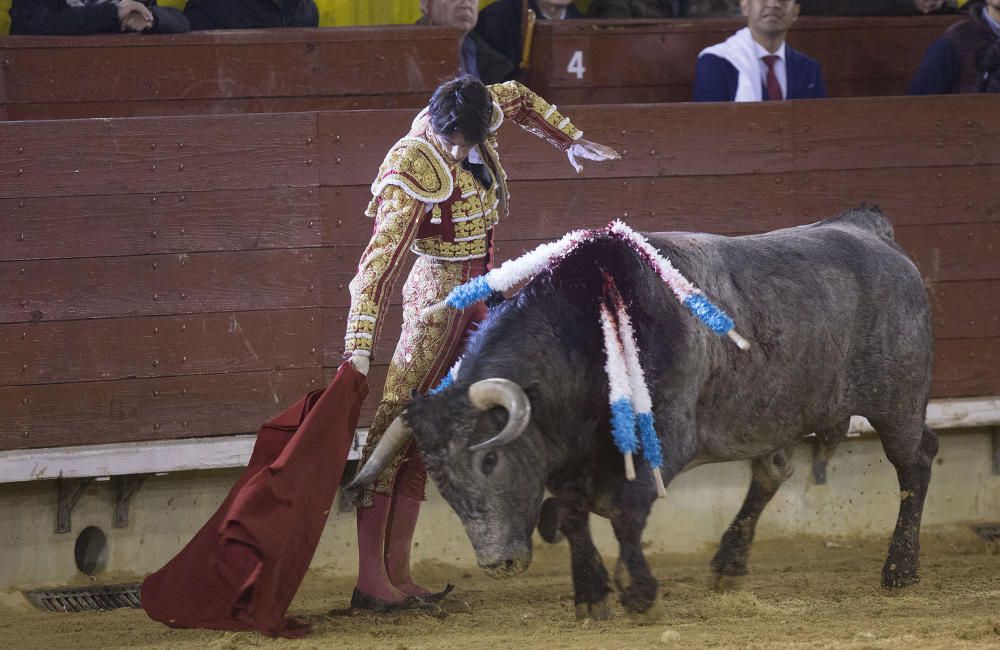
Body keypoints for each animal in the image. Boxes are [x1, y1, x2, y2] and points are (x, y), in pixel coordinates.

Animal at [350, 208, 936, 616]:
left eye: (489, 461)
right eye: (442, 482)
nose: (500, 564)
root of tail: (868, 227)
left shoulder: (666, 438)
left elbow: (624, 511)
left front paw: (640, 595)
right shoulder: (568, 461)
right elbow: (573, 516)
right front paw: (590, 595)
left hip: (899, 403)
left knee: (916, 463)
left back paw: (900, 569)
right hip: (777, 412)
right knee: (772, 471)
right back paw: (729, 564)